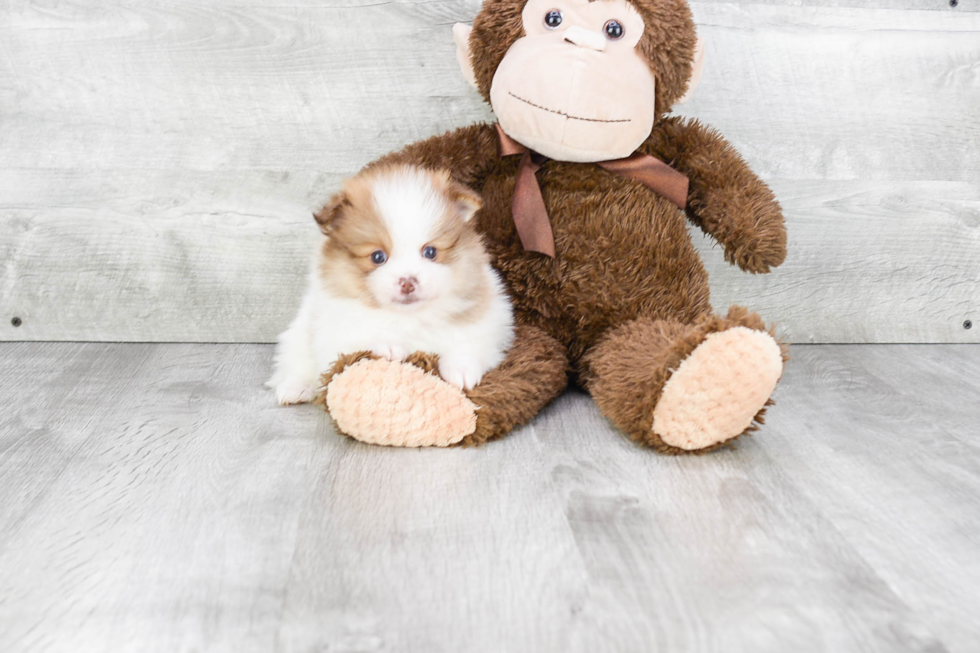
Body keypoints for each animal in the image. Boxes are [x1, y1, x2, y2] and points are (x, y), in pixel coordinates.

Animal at [268, 163, 512, 404]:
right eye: (378, 257)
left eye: (430, 252)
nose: (408, 282)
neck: (409, 317)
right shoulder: (335, 332)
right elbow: (361, 336)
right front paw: (388, 345)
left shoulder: (490, 316)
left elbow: (470, 339)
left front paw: (461, 370)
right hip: (299, 333)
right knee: (295, 362)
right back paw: (295, 388)